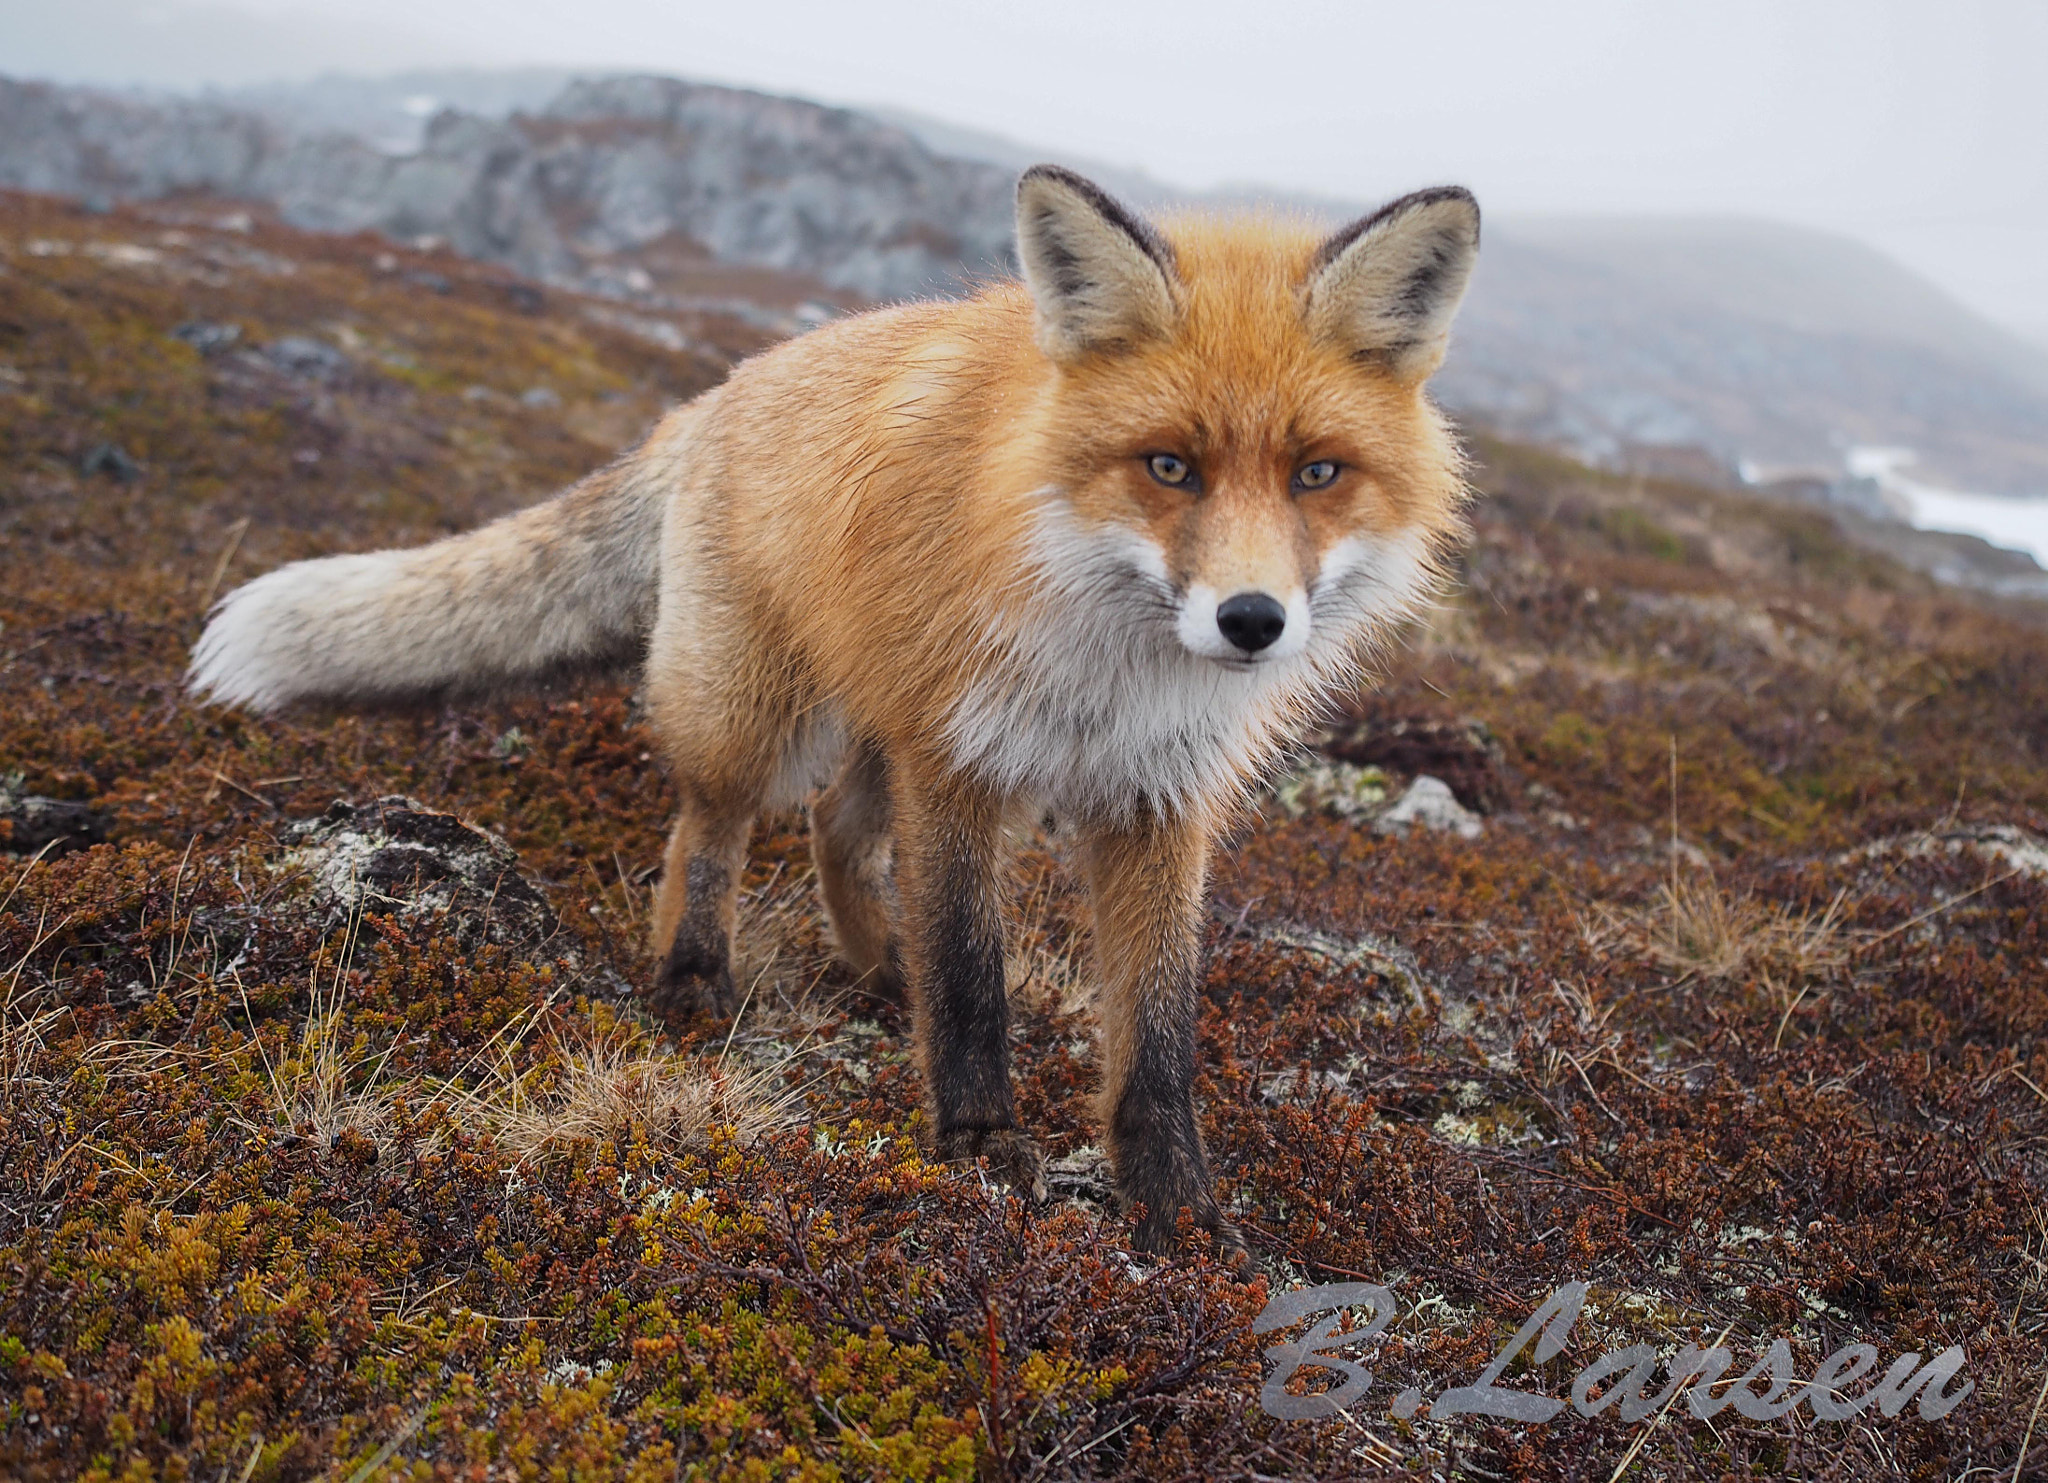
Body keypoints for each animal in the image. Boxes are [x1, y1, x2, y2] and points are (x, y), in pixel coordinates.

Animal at [188, 164, 1474, 1261]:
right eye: (1169, 468)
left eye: (1316, 473)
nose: (1250, 621)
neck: (1106, 661)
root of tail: (713, 394)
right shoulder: (958, 762)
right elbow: (969, 975)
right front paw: (974, 1146)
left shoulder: (1154, 800)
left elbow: (1156, 1032)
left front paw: (1176, 1207)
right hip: (756, 717)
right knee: (707, 830)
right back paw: (694, 980)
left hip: (873, 725)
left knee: (835, 836)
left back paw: (877, 973)